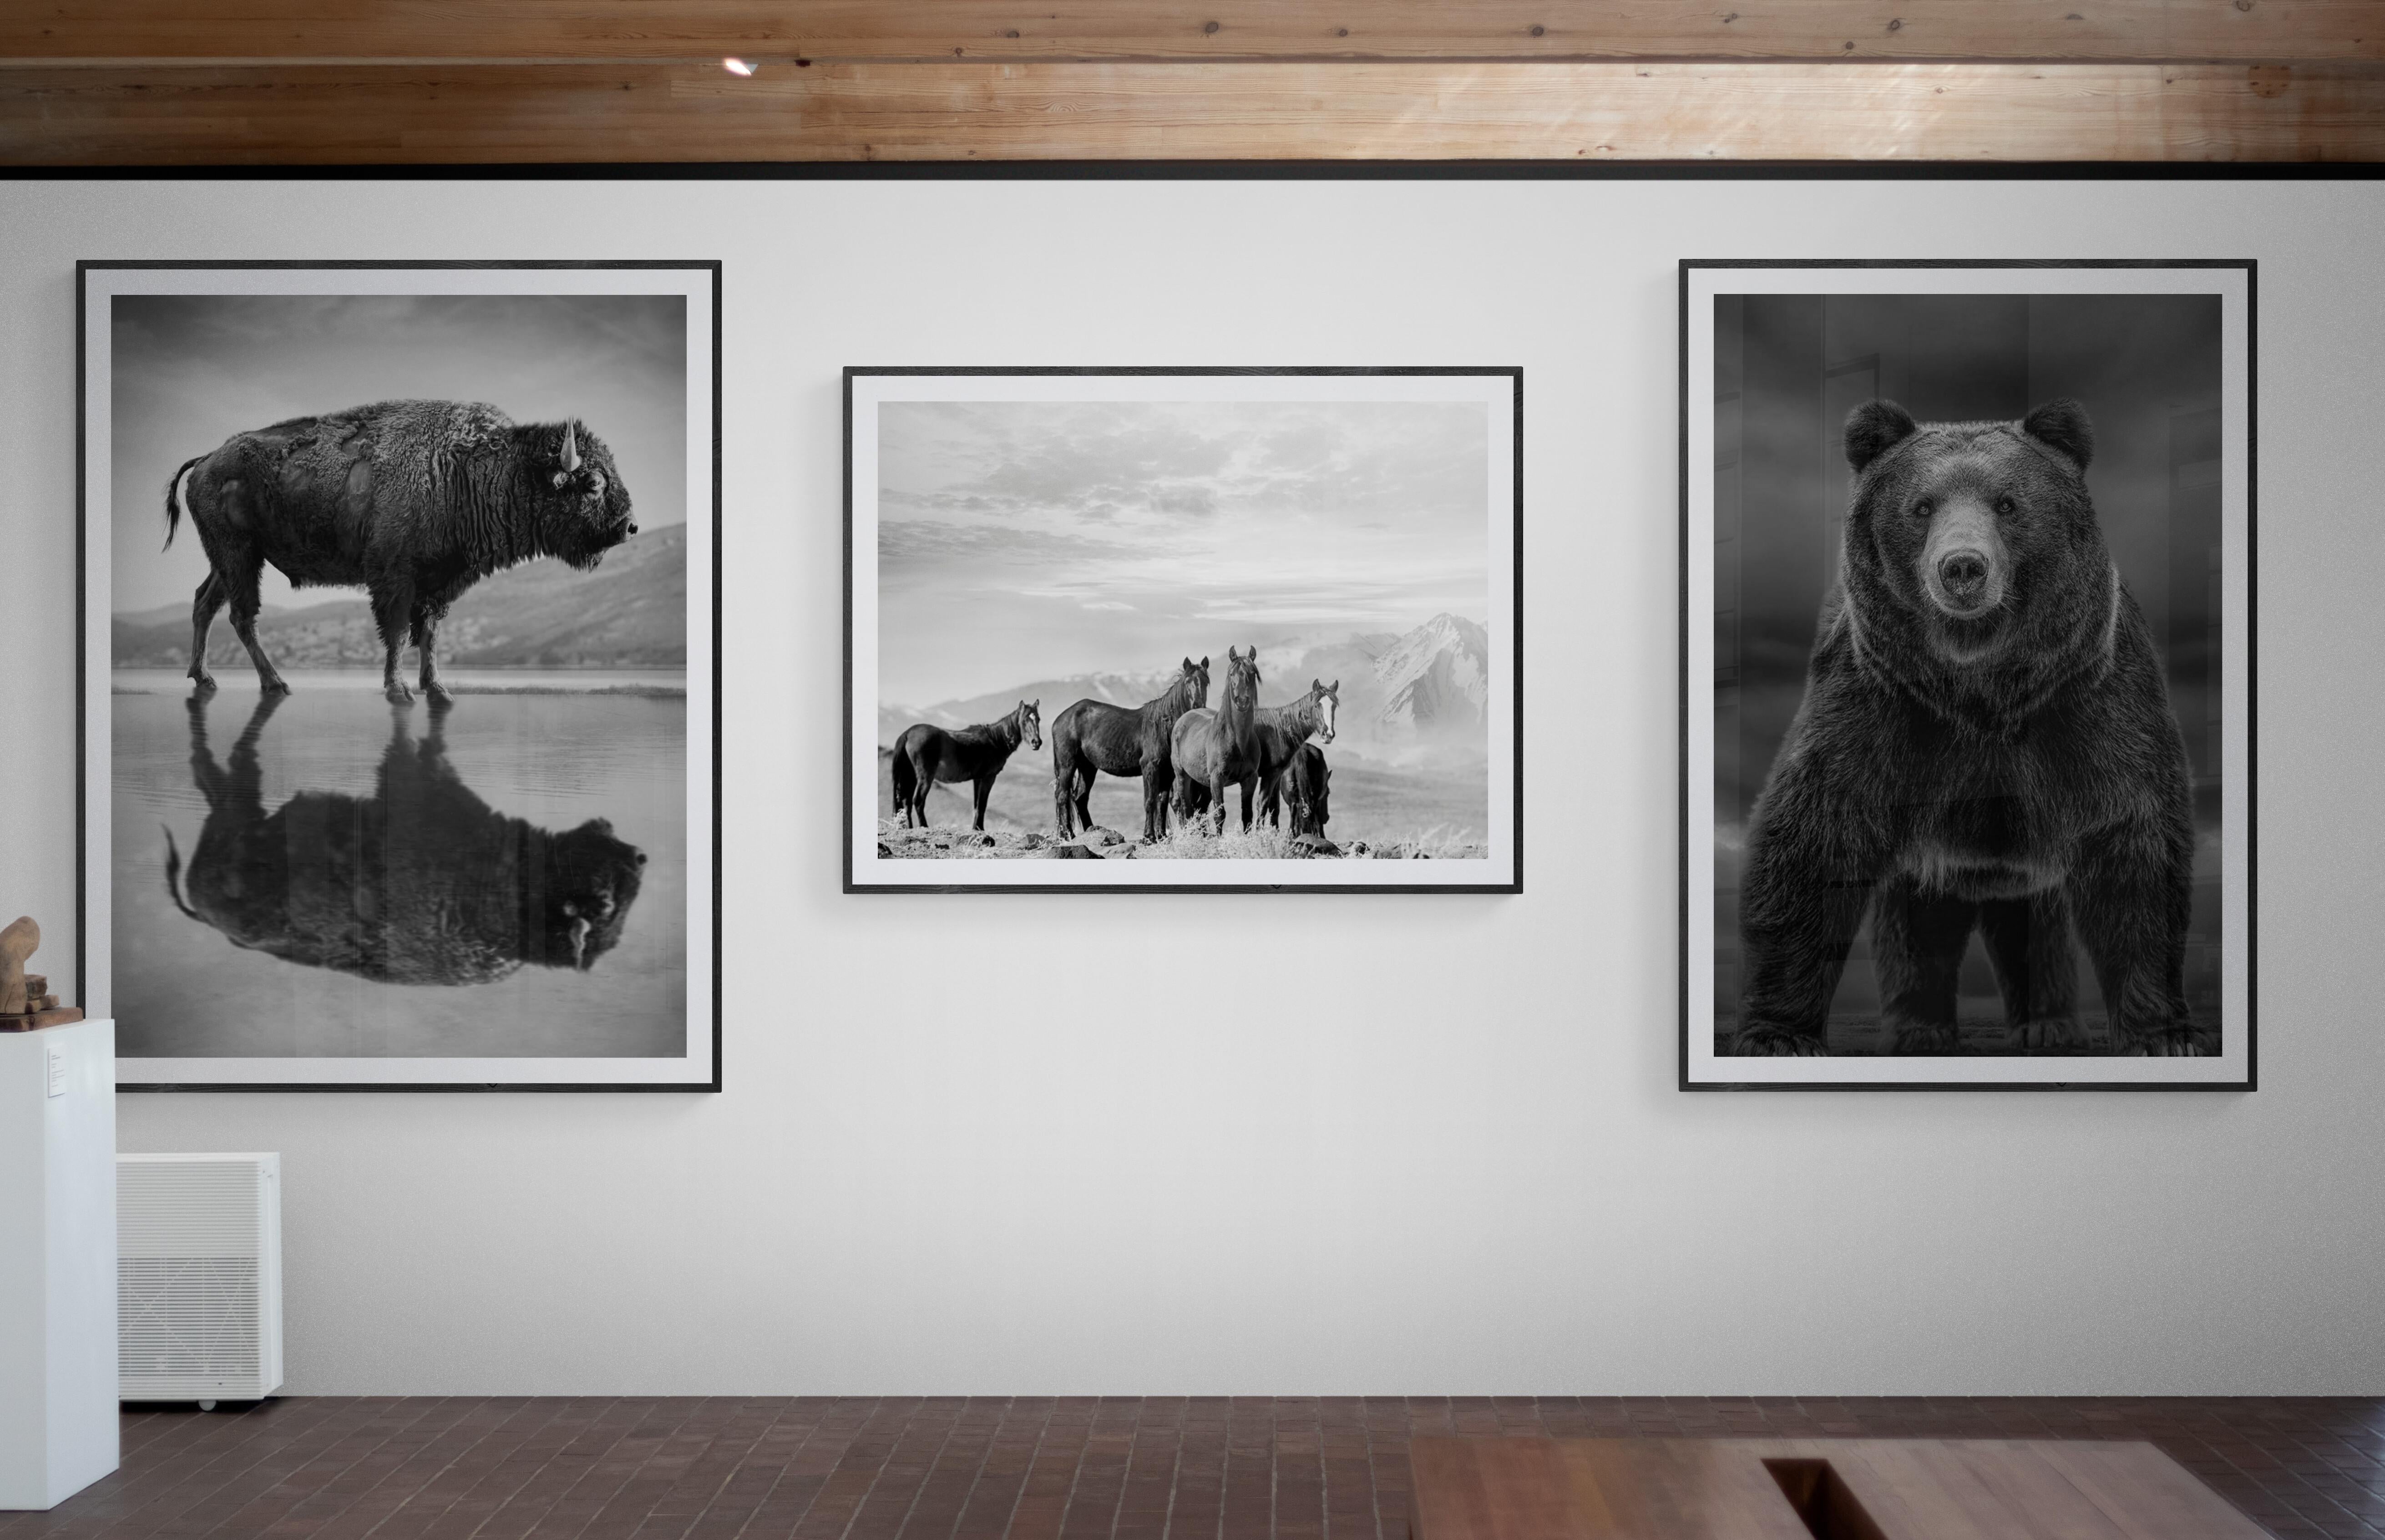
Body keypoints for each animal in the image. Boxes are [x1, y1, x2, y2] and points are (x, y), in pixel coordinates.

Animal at [890, 700, 1042, 832]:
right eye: (1024, 720)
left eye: (1038, 719)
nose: (1037, 742)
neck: (996, 740)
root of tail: (908, 733)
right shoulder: (989, 778)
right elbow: (982, 805)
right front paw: (980, 829)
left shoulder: (978, 779)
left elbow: (977, 806)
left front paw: (976, 828)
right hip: (925, 777)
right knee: (918, 800)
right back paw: (924, 826)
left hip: (911, 776)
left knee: (907, 802)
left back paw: (909, 828)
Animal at [1050, 657, 1208, 842]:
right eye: (1187, 681)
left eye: (1206, 681)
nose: (1198, 706)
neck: (1163, 727)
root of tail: (1061, 719)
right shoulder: (1150, 767)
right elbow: (1150, 801)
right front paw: (1149, 836)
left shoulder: (1168, 772)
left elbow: (1161, 802)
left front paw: (1161, 835)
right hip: (1067, 765)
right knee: (1063, 796)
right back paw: (1066, 834)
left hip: (1088, 767)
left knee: (1080, 797)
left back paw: (1090, 830)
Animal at [1170, 646, 1266, 834]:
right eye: (1231, 674)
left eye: (1252, 673)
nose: (1241, 701)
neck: (1236, 740)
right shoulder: (1217, 779)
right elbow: (1219, 815)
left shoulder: (1250, 779)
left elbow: (1247, 816)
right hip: (1182, 774)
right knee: (1185, 807)